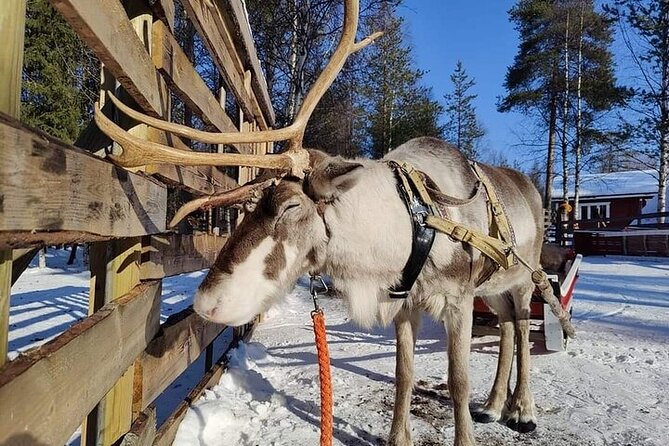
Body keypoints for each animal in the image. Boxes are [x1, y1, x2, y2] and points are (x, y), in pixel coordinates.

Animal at [94, 1, 574, 445]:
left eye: (290, 207)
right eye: (251, 205)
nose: (206, 303)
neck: (405, 229)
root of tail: (532, 189)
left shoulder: (457, 299)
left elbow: (458, 382)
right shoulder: (406, 305)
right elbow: (403, 374)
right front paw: (398, 437)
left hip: (523, 277)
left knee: (521, 325)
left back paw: (522, 410)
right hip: (493, 287)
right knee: (509, 326)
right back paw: (494, 405)